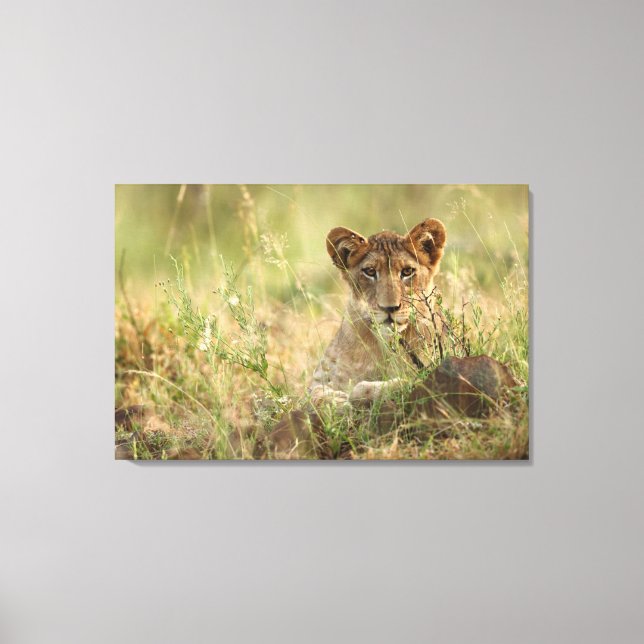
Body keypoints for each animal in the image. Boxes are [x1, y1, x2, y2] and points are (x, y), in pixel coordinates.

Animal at [309, 218, 447, 406]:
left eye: (407, 271)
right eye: (370, 271)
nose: (389, 308)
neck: (386, 346)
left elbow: (365, 388)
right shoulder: (320, 377)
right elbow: (314, 394)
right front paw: (336, 400)